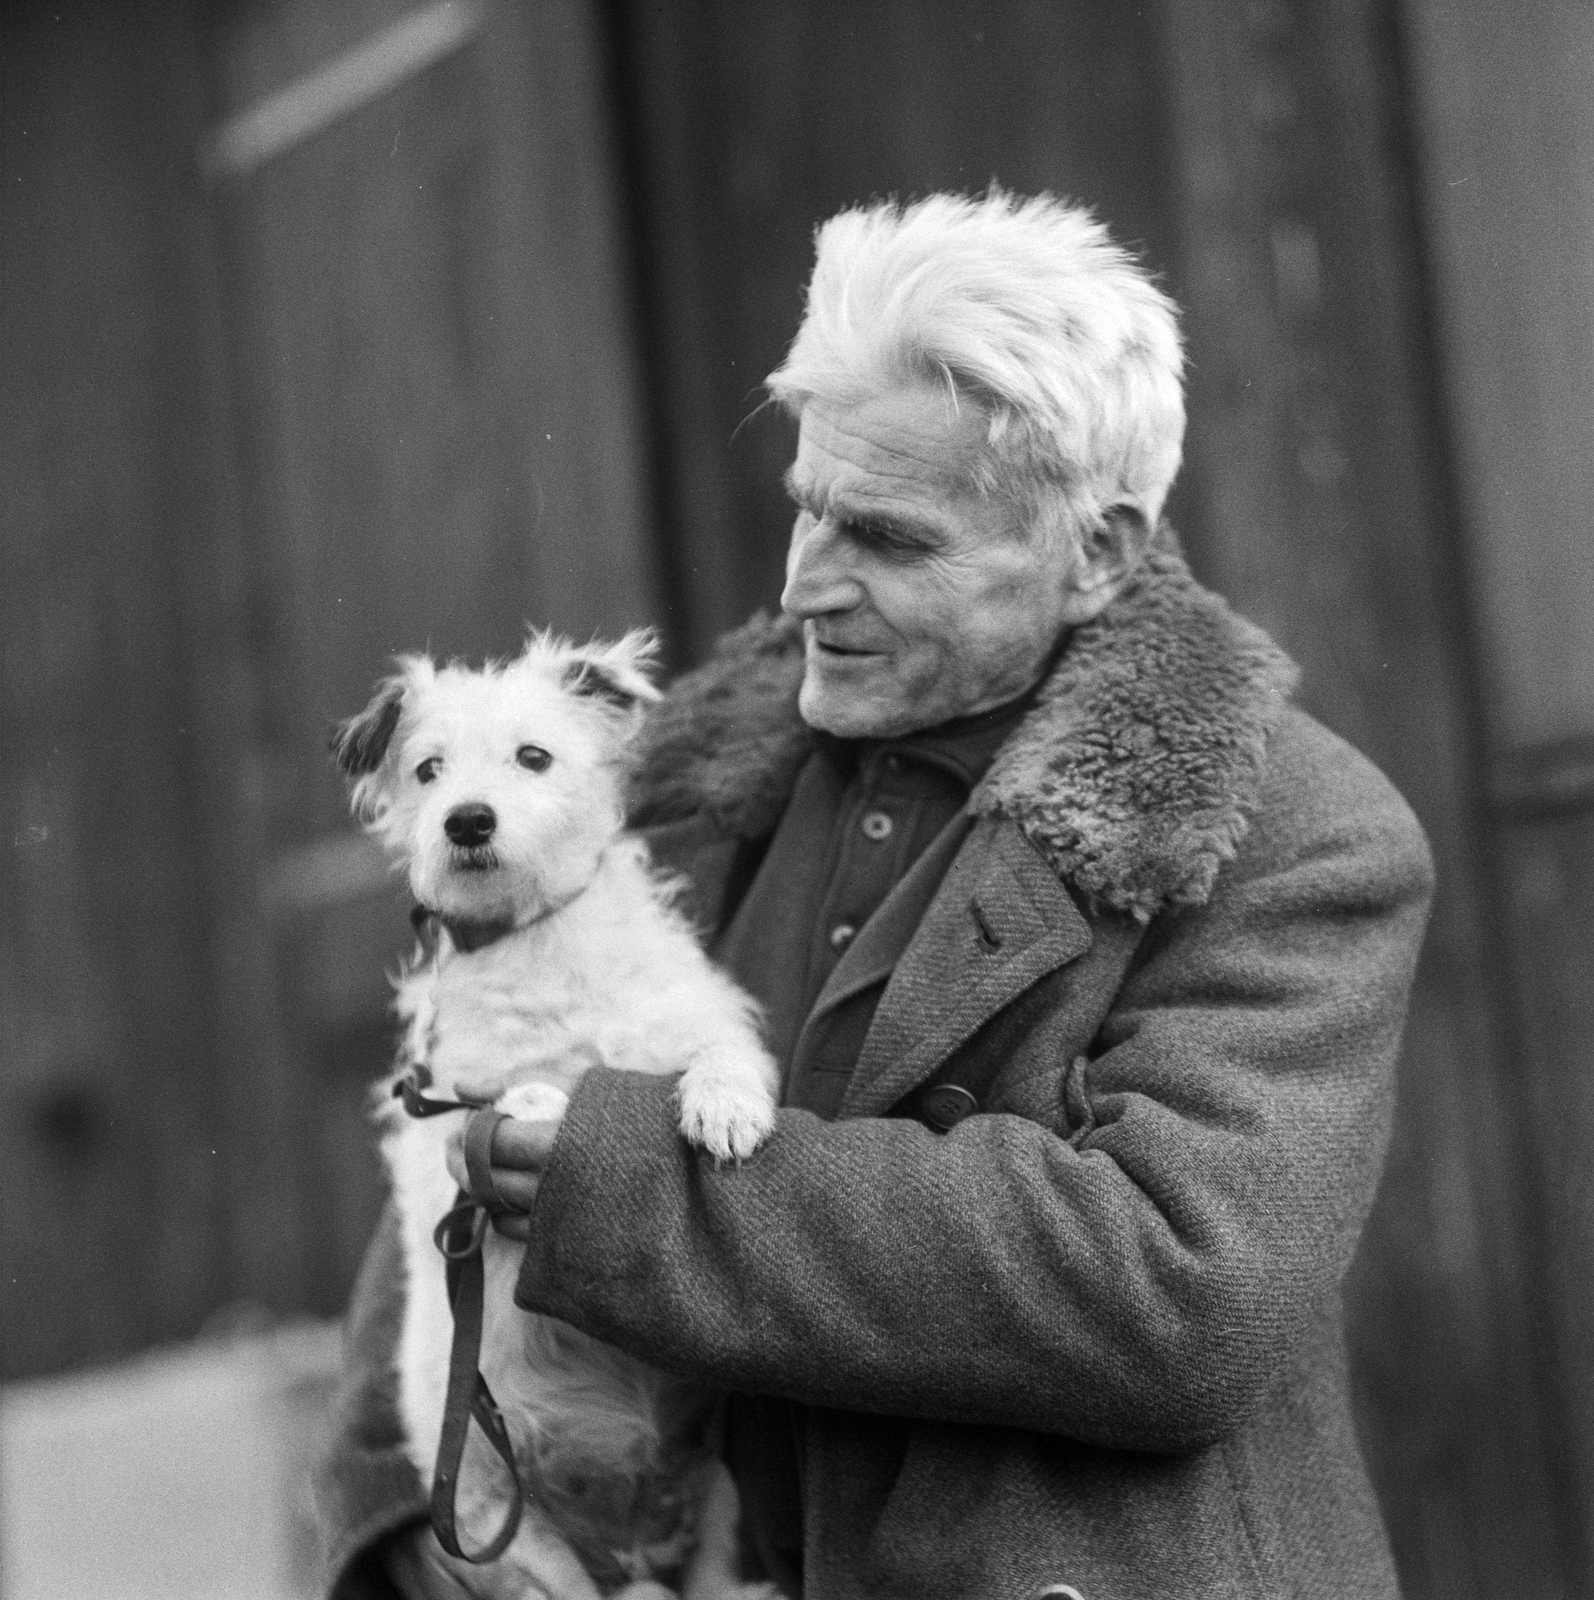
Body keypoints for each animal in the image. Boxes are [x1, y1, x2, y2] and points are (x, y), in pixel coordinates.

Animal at [332, 630, 780, 1600]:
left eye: (534, 757)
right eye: (427, 769)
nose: (468, 821)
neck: (536, 937)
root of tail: (628, 1533)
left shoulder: (690, 1018)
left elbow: (722, 1054)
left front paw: (725, 1110)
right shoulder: (456, 1121)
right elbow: (517, 1099)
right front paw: (545, 1094)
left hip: (720, 1516)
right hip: (509, 1536)